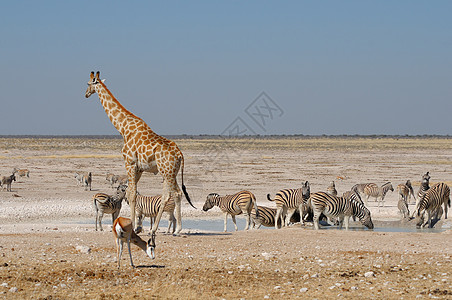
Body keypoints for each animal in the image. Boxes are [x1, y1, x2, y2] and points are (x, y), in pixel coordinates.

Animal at [85, 71, 194, 234]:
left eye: (88, 83)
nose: (85, 93)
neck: (123, 128)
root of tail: (180, 154)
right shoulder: (139, 168)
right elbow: (133, 193)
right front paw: (136, 226)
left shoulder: (129, 163)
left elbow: (131, 194)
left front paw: (132, 225)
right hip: (170, 172)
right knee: (171, 194)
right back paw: (160, 229)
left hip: (167, 172)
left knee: (175, 193)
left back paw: (173, 230)